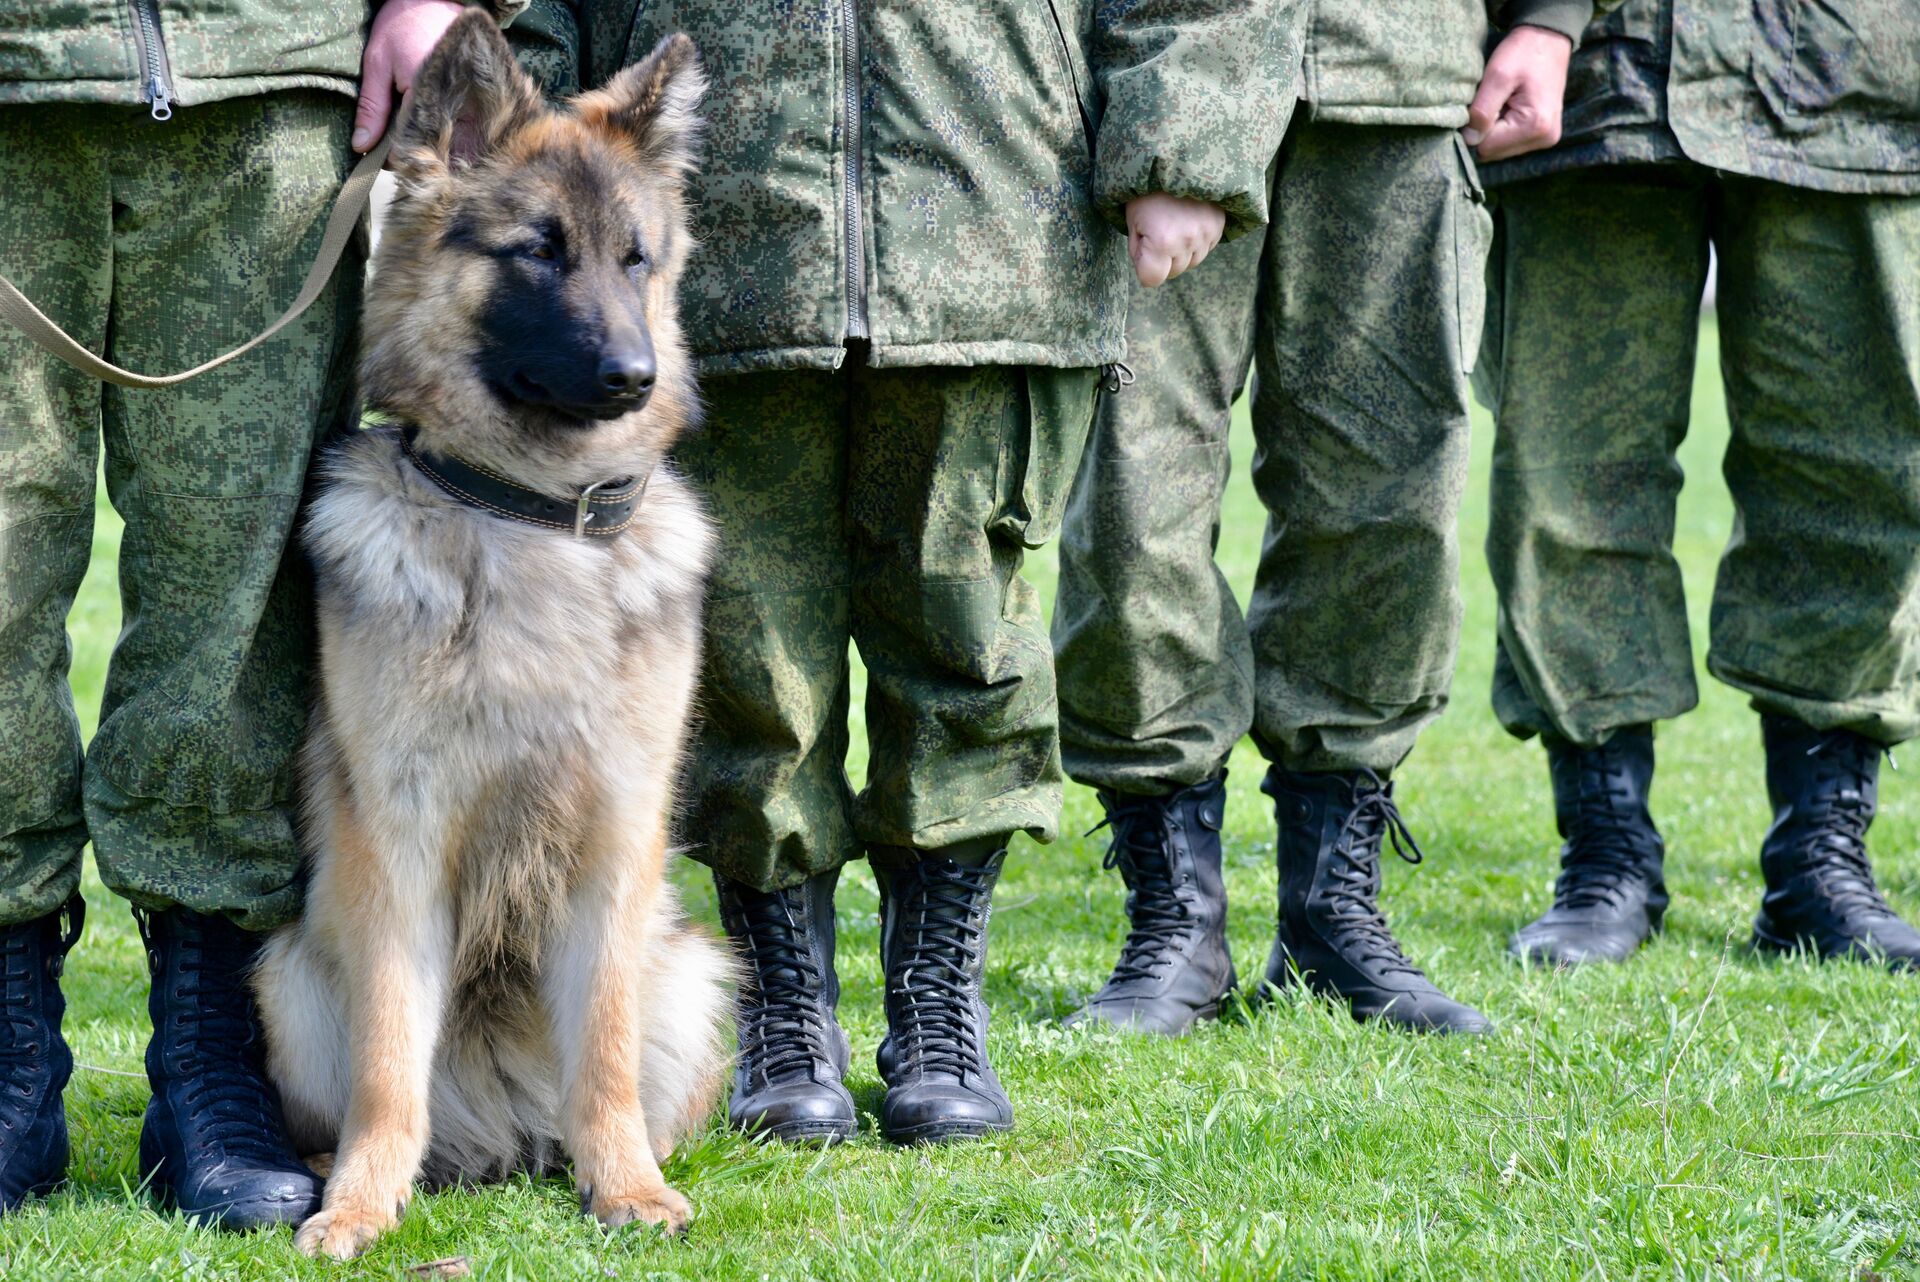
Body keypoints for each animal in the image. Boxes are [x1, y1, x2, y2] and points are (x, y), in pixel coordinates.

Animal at [251, 12, 729, 1258]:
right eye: (537, 252)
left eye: (636, 259)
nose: (633, 375)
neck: (530, 515)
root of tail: (507, 1127)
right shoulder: (400, 849)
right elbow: (388, 1064)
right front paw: (361, 1203)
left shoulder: (615, 845)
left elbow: (602, 1051)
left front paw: (627, 1187)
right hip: (290, 978)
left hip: (693, 967)